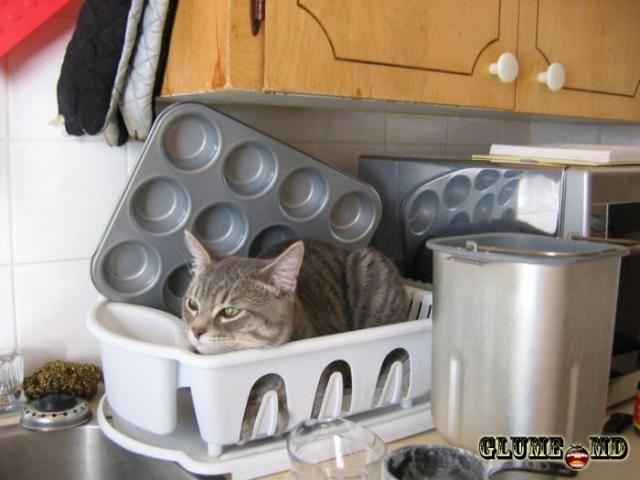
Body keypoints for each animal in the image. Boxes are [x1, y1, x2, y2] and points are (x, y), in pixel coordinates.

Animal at [182, 230, 409, 441]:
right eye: (192, 304)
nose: (195, 329)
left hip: (370, 266)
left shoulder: (322, 381)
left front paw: (259, 415)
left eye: (230, 312)